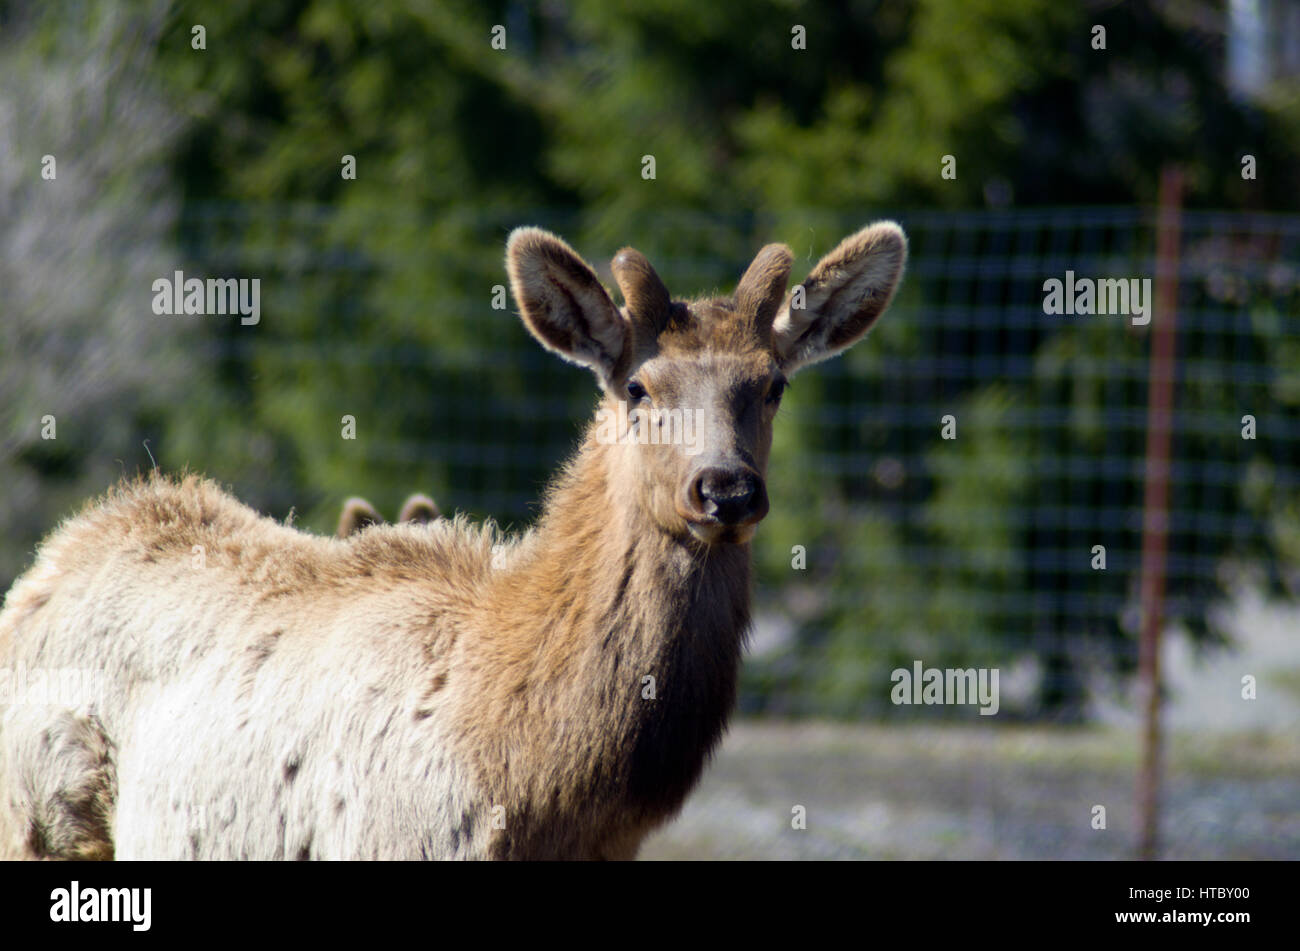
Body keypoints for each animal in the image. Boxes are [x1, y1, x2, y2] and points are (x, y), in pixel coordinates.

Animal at [0, 223, 904, 862]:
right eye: (639, 387)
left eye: (773, 385)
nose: (725, 488)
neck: (534, 785)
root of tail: (49, 562)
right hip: (37, 823)